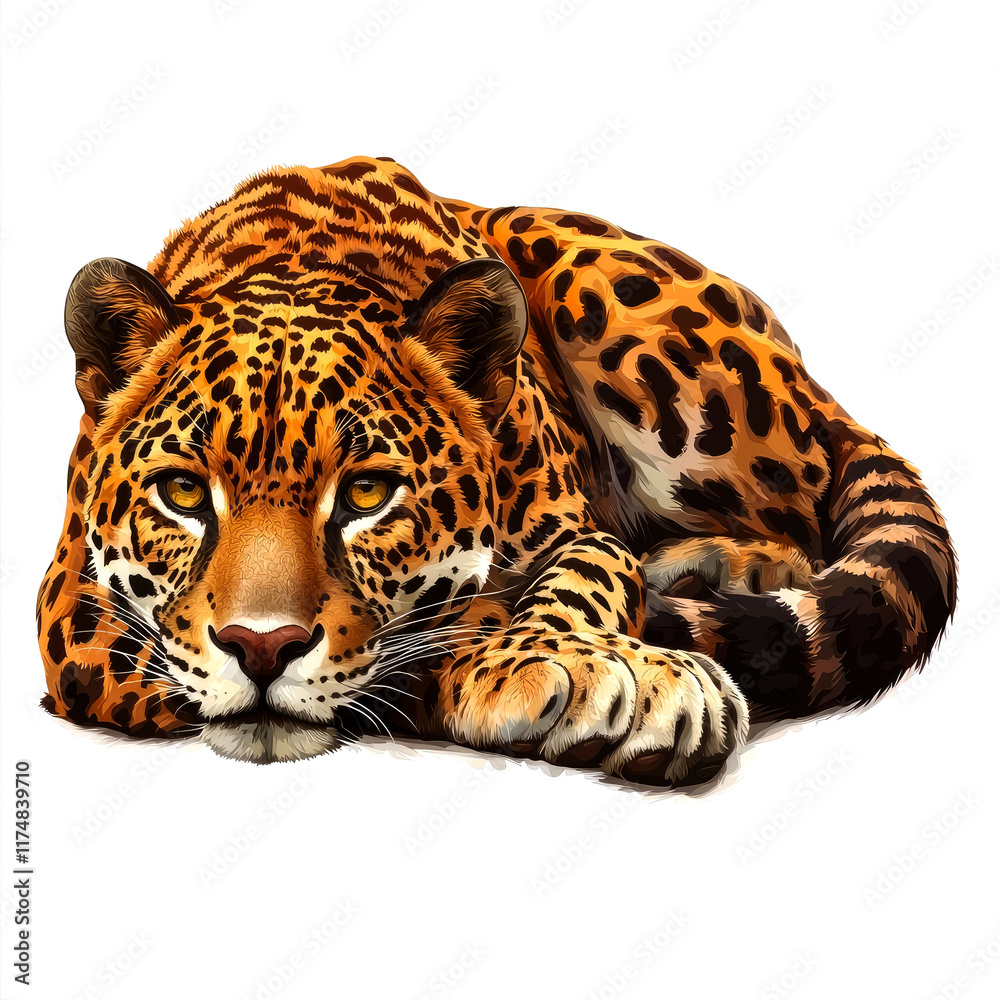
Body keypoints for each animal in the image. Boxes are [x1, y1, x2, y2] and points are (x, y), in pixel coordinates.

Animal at [36, 155, 957, 786]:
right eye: (183, 492)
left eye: (366, 492)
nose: (262, 650)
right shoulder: (73, 611)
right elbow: (428, 638)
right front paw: (613, 673)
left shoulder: (581, 531)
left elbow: (574, 577)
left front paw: (575, 656)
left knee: (802, 508)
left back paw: (734, 564)